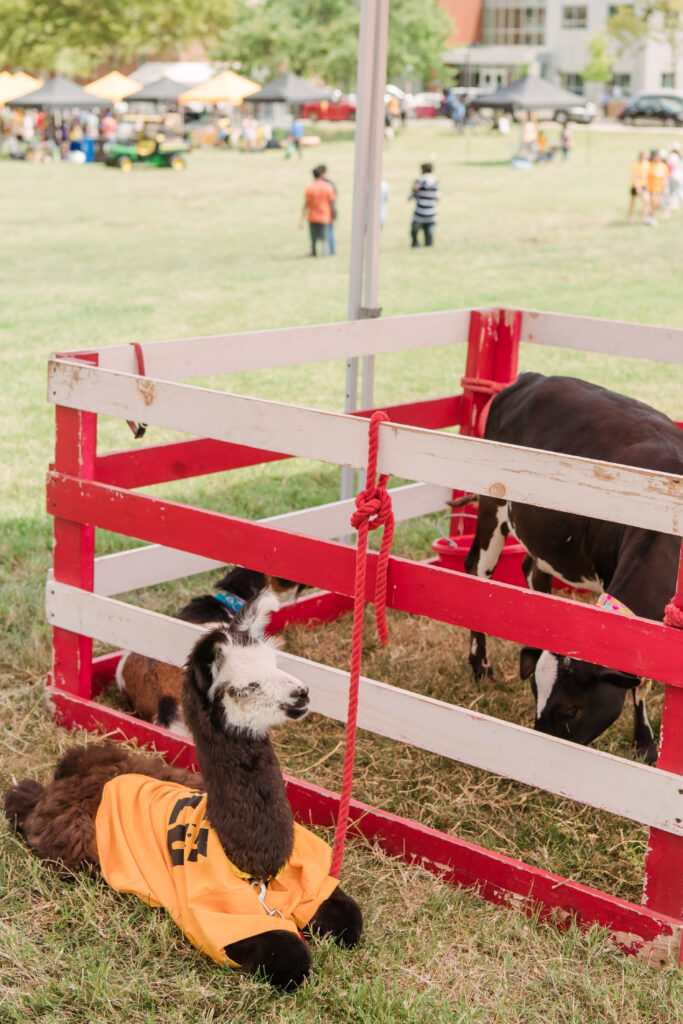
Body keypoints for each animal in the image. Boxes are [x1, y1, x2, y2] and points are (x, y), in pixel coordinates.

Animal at [464, 372, 683, 765]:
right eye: (536, 696)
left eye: (568, 710)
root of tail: (532, 378)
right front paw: (645, 741)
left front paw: (645, 740)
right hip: (492, 505)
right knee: (477, 571)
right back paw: (481, 666)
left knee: (533, 570)